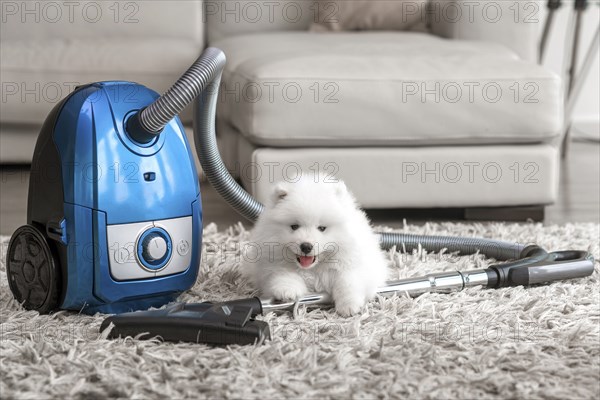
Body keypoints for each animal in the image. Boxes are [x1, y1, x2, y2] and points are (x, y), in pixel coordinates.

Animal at [240, 175, 390, 316]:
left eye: (322, 228)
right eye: (294, 226)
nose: (306, 246)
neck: (314, 269)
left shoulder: (352, 264)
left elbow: (347, 281)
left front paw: (349, 307)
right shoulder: (272, 263)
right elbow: (284, 273)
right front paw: (287, 290)